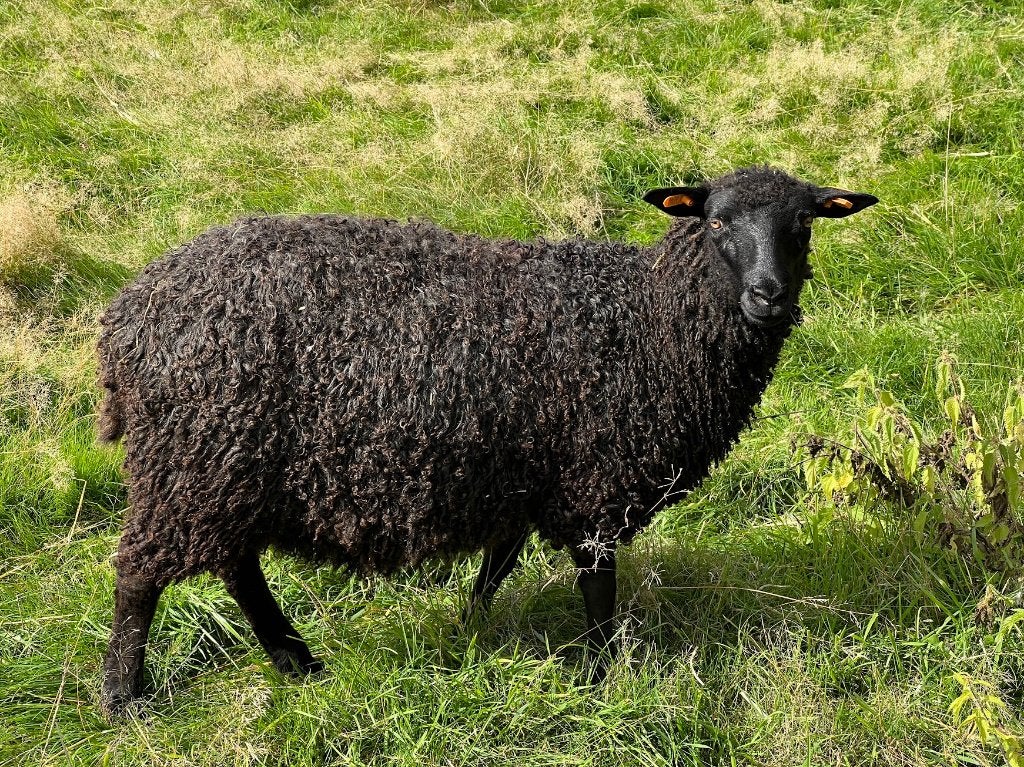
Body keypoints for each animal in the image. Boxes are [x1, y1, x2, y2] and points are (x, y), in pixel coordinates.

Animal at [97, 166, 877, 713]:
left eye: (804, 225)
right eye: (717, 224)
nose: (770, 295)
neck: (647, 322)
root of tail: (130, 314)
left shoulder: (524, 472)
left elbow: (495, 568)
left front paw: (465, 636)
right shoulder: (593, 479)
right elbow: (597, 588)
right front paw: (602, 675)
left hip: (226, 465)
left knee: (236, 565)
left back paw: (297, 662)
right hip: (192, 457)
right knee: (140, 575)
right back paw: (125, 698)